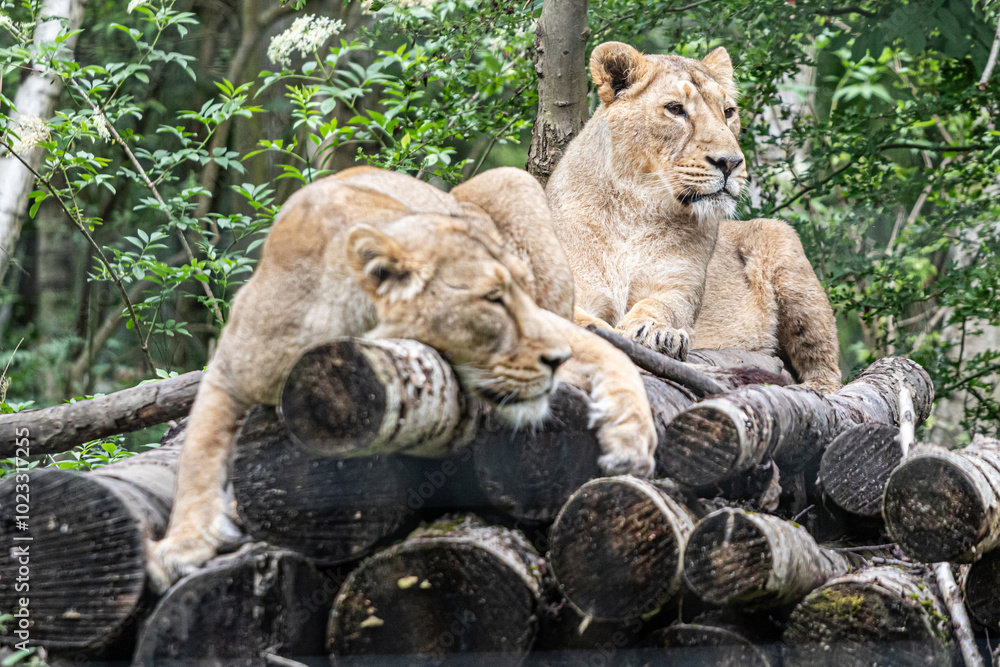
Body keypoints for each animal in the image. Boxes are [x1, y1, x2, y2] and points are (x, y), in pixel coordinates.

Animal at [147, 166, 657, 590]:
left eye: (518, 290)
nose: (556, 358)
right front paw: (182, 544)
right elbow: (197, 454)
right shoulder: (229, 371)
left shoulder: (549, 320)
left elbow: (612, 355)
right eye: (492, 299)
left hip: (513, 182)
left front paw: (631, 439)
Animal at [546, 41, 841, 392]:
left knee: (826, 367)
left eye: (728, 112)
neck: (634, 211)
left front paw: (657, 332)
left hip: (785, 251)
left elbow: (661, 307)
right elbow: (574, 321)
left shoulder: (679, 287)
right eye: (675, 109)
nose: (730, 162)